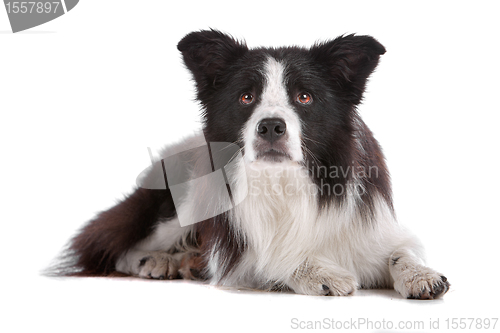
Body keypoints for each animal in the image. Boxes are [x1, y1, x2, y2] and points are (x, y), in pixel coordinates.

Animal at [60, 29, 452, 298]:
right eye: (246, 97)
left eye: (304, 96)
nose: (271, 126)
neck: (283, 181)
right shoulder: (240, 256)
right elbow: (275, 256)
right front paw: (322, 273)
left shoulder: (377, 228)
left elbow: (402, 252)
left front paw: (420, 275)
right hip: (181, 204)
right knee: (112, 247)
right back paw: (157, 261)